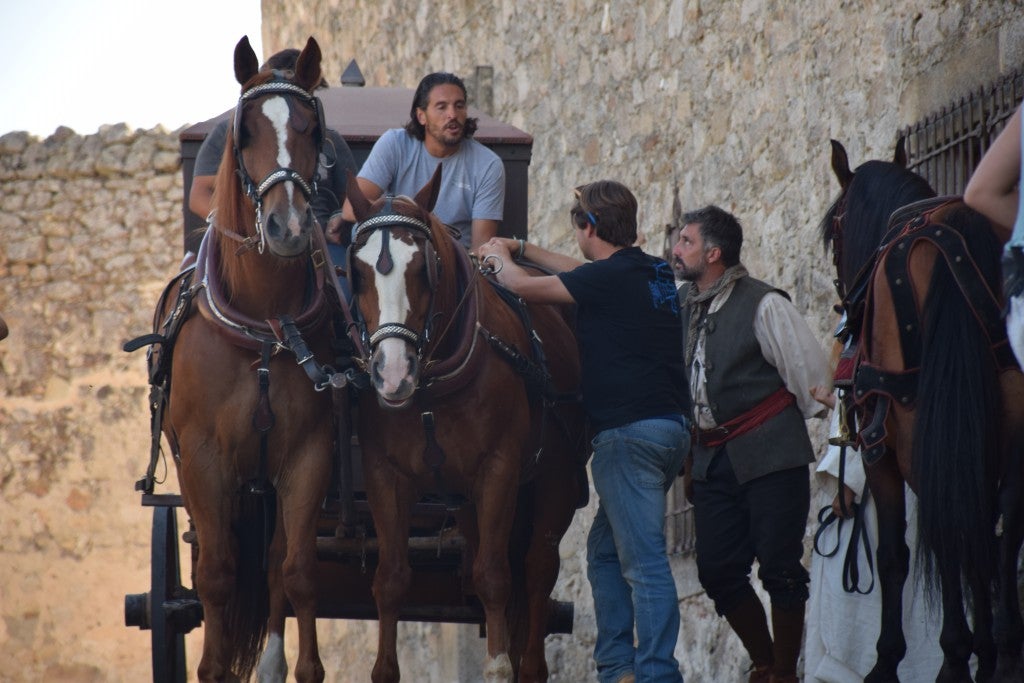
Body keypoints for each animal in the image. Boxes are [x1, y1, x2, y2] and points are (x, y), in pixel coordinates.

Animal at [155, 38, 339, 683]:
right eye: (246, 130)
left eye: (312, 129)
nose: (287, 227)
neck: (264, 327)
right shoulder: (204, 461)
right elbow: (215, 577)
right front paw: (211, 667)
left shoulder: (309, 456)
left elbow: (300, 572)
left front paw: (303, 667)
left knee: (277, 564)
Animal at [344, 171, 585, 683]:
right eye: (356, 272)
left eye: (423, 269)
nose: (394, 374)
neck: (431, 389)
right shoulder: (384, 476)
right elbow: (391, 580)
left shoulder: (499, 471)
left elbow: (494, 578)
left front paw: (497, 665)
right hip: (469, 504)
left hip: (554, 481)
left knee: (536, 570)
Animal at [823, 140, 1024, 683]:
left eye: (832, 233)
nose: (844, 307)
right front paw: (985, 650)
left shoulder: (879, 453)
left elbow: (894, 556)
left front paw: (889, 660)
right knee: (996, 528)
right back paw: (999, 652)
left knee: (946, 530)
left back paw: (955, 657)